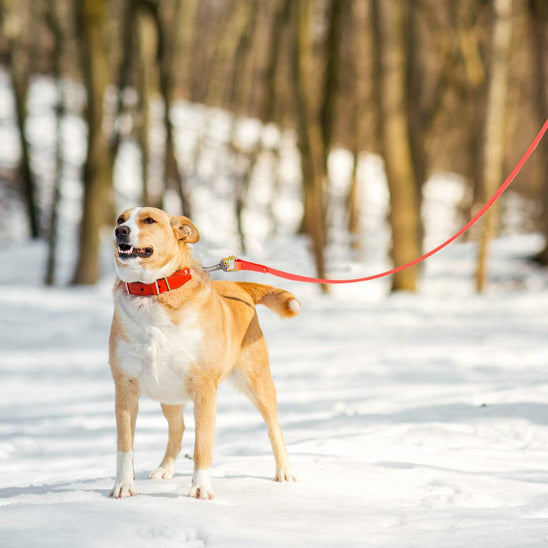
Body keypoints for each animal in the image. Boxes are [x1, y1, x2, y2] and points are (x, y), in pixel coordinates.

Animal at [108, 208, 300, 498]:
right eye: (121, 219)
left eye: (149, 220)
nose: (120, 231)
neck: (152, 291)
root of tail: (239, 287)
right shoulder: (125, 386)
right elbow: (124, 446)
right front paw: (123, 486)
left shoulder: (204, 388)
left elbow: (202, 445)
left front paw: (200, 488)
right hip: (168, 394)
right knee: (178, 428)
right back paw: (165, 468)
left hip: (258, 383)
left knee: (273, 427)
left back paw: (284, 471)